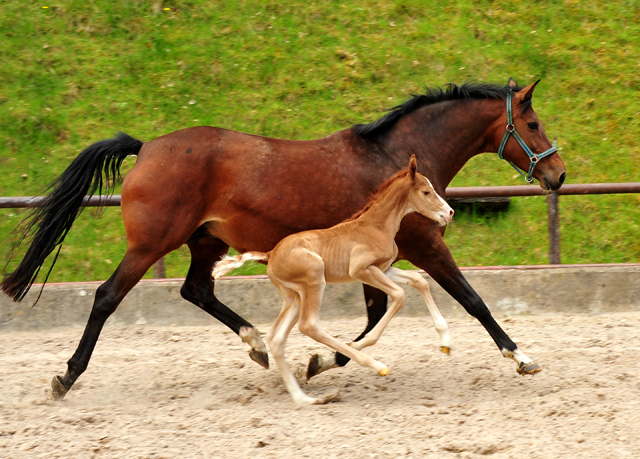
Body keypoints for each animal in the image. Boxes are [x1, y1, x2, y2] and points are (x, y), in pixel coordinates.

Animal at [215, 156, 456, 404]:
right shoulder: (361, 270)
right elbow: (399, 295)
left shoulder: (384, 268)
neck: (376, 226)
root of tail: (270, 253)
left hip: (295, 297)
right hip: (314, 278)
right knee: (309, 325)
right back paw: (374, 365)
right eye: (426, 192)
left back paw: (304, 399)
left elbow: (419, 281)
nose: (449, 212)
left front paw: (445, 342)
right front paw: (359, 343)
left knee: (276, 338)